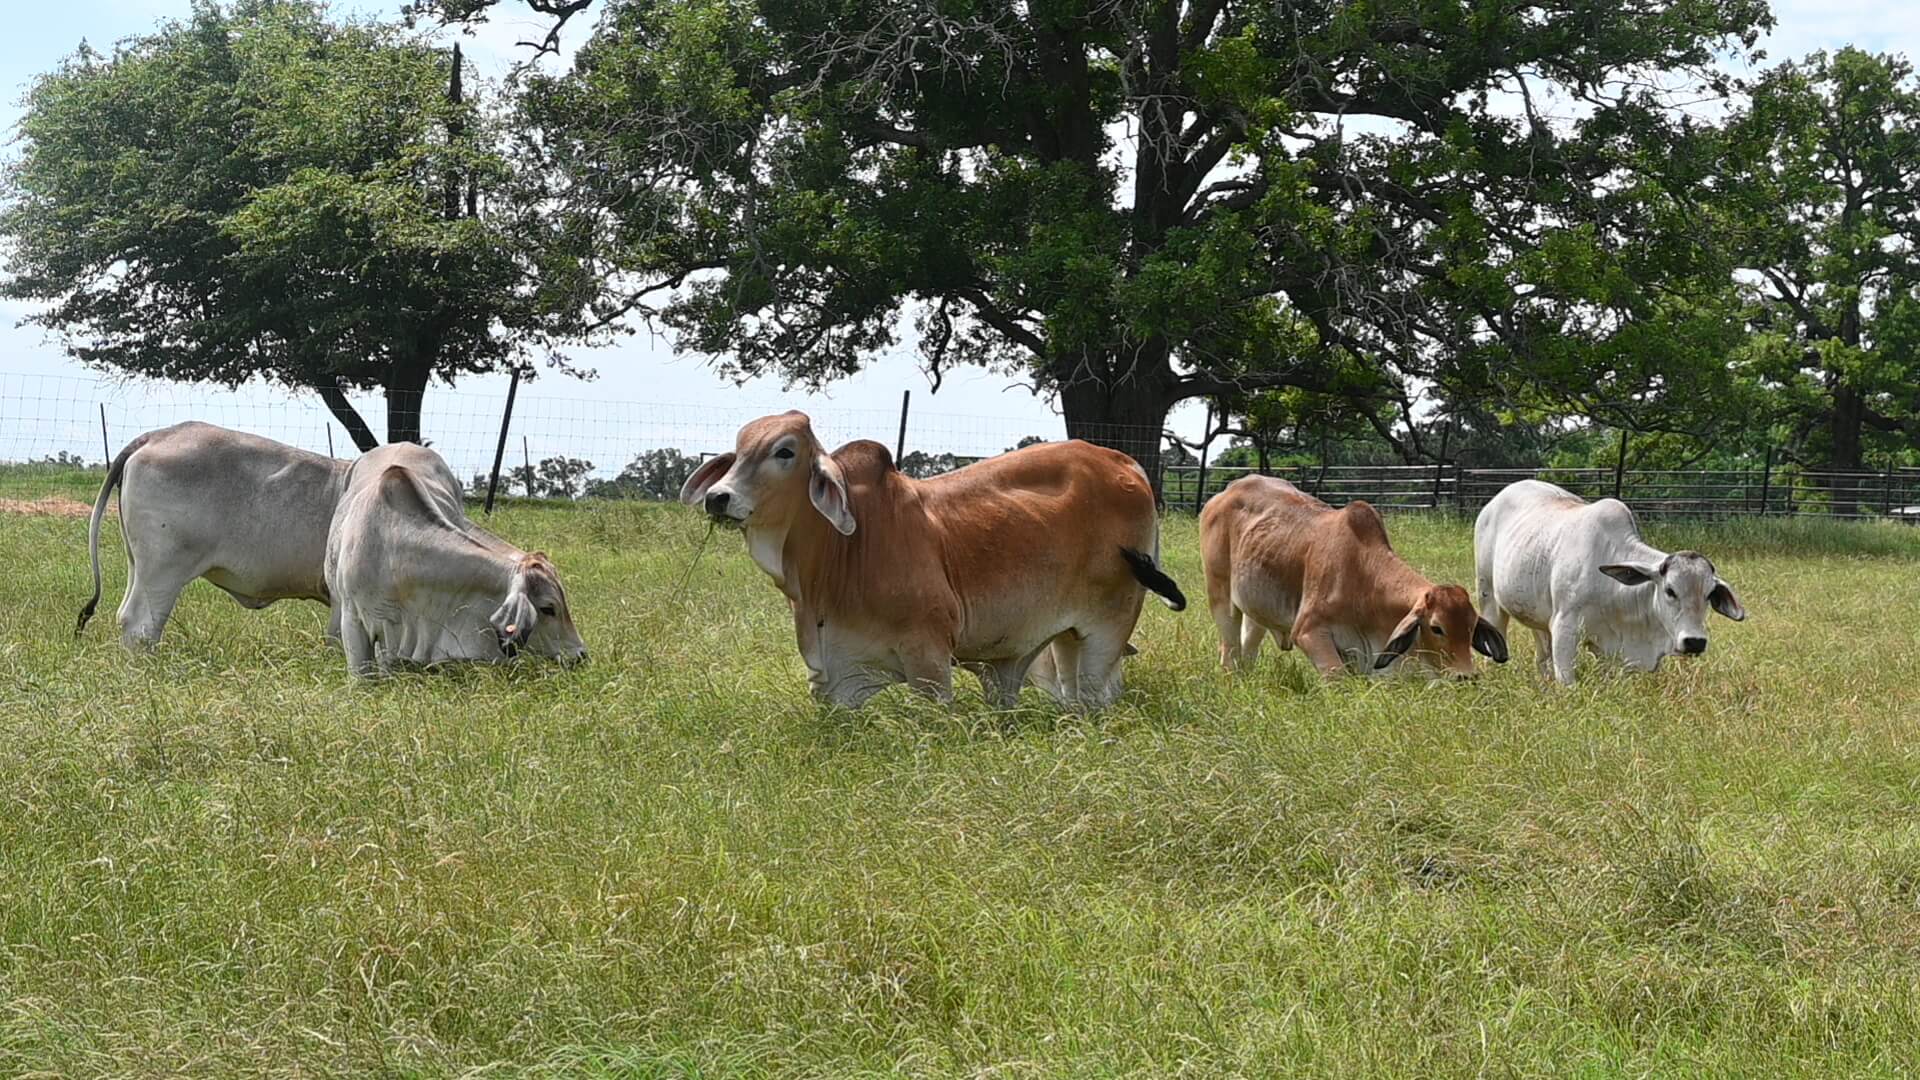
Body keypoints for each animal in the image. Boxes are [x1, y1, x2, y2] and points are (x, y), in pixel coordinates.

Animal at [678, 411, 1185, 709]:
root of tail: (1124, 462)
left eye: (784, 451)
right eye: (738, 452)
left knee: (1097, 694)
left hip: (1108, 628)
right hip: (1067, 638)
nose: (719, 498)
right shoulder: (832, 676)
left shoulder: (929, 659)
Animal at [1200, 475, 1508, 678]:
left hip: (1256, 605)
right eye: (1437, 628)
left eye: (1471, 627)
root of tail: (1224, 493)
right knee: (1229, 648)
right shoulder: (1309, 631)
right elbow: (1336, 678)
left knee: (1248, 645)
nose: (1466, 677)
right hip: (1221, 598)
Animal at [1473, 479, 1746, 685]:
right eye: (1670, 590)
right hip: (1489, 596)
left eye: (1709, 594)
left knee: (1542, 651)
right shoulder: (1565, 627)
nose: (1695, 642)